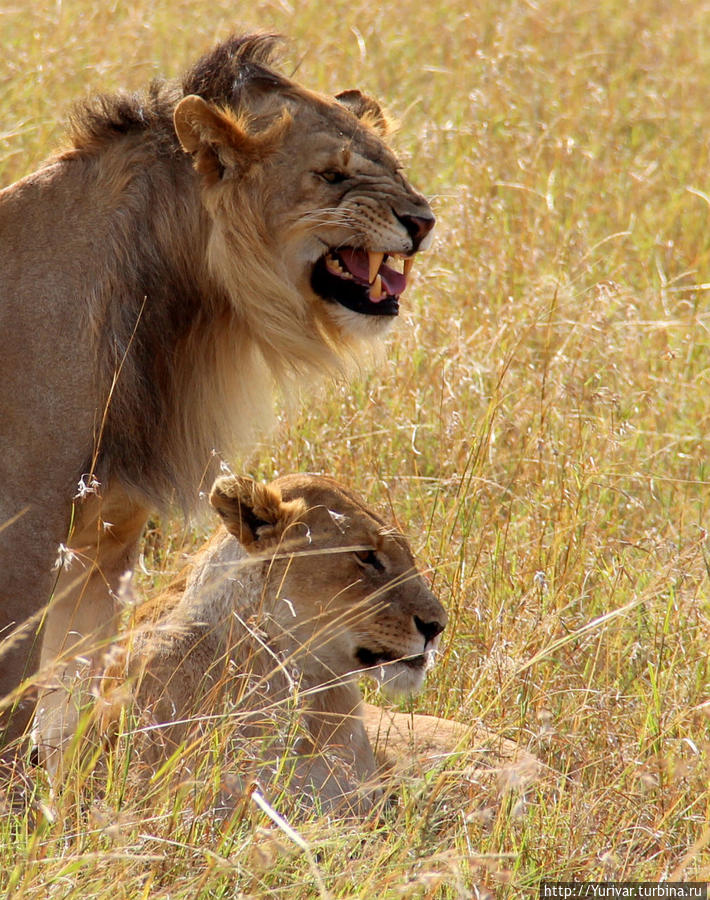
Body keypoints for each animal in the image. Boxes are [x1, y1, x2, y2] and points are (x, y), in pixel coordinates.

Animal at [0, 33, 434, 752]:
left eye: (395, 168)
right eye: (331, 175)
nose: (423, 221)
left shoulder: (108, 542)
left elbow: (74, 704)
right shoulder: (25, 537)